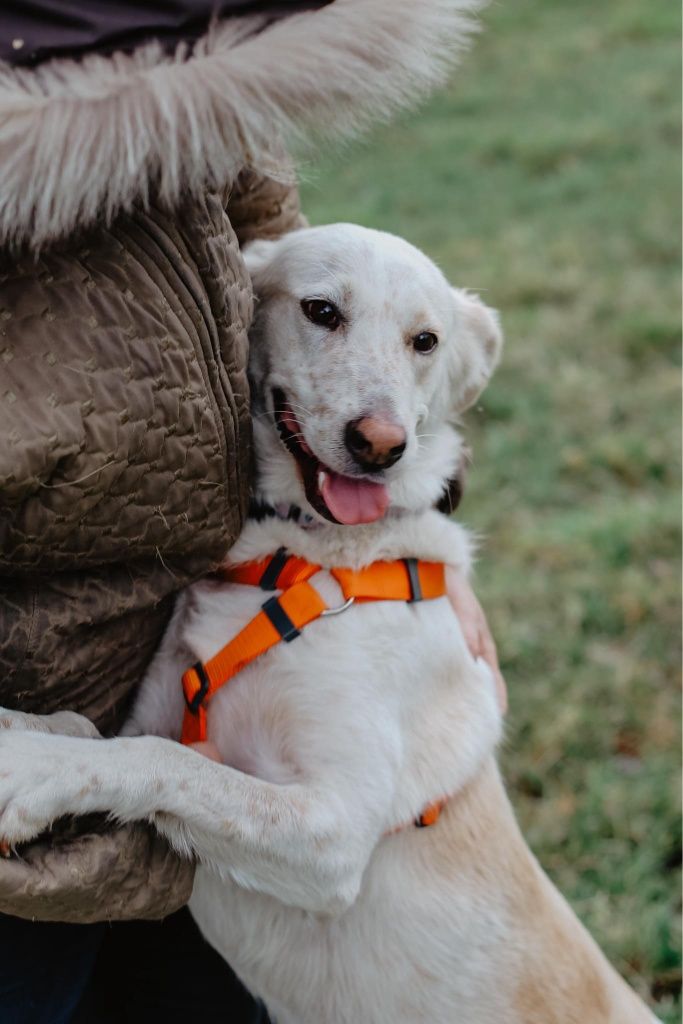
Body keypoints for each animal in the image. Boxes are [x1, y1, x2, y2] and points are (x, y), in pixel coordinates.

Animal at [0, 226, 655, 1024]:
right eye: (320, 310)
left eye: (425, 341)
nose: (381, 445)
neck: (303, 560)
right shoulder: (161, 717)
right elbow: (94, 735)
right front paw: (27, 737)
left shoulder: (333, 832)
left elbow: (166, 763)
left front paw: (25, 768)